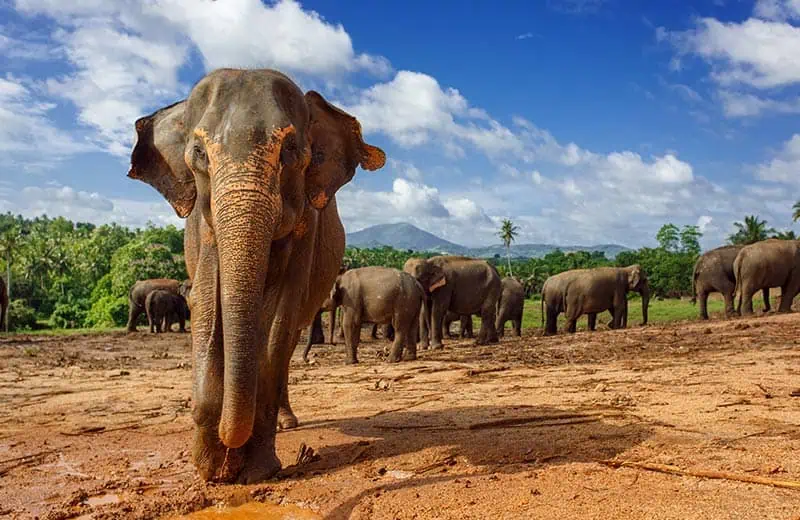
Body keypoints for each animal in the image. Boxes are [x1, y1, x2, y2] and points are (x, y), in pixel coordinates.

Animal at [127, 68, 386, 483]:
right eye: (199, 153)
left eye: (291, 150)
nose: (229, 457)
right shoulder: (202, 226)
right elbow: (205, 301)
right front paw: (211, 470)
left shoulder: (306, 227)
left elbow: (280, 316)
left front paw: (255, 471)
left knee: (287, 339)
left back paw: (286, 423)